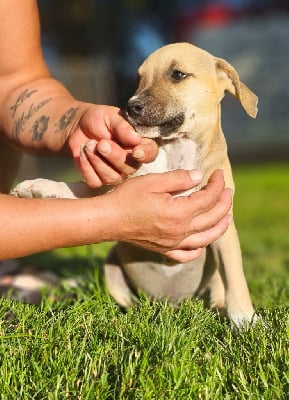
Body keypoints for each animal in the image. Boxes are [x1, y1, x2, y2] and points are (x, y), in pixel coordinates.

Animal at [103, 43, 256, 328]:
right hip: (111, 264)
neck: (179, 149)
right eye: (139, 79)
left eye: (178, 75)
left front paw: (246, 321)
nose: (130, 107)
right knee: (126, 299)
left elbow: (235, 277)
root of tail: (173, 303)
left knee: (218, 291)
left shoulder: (223, 228)